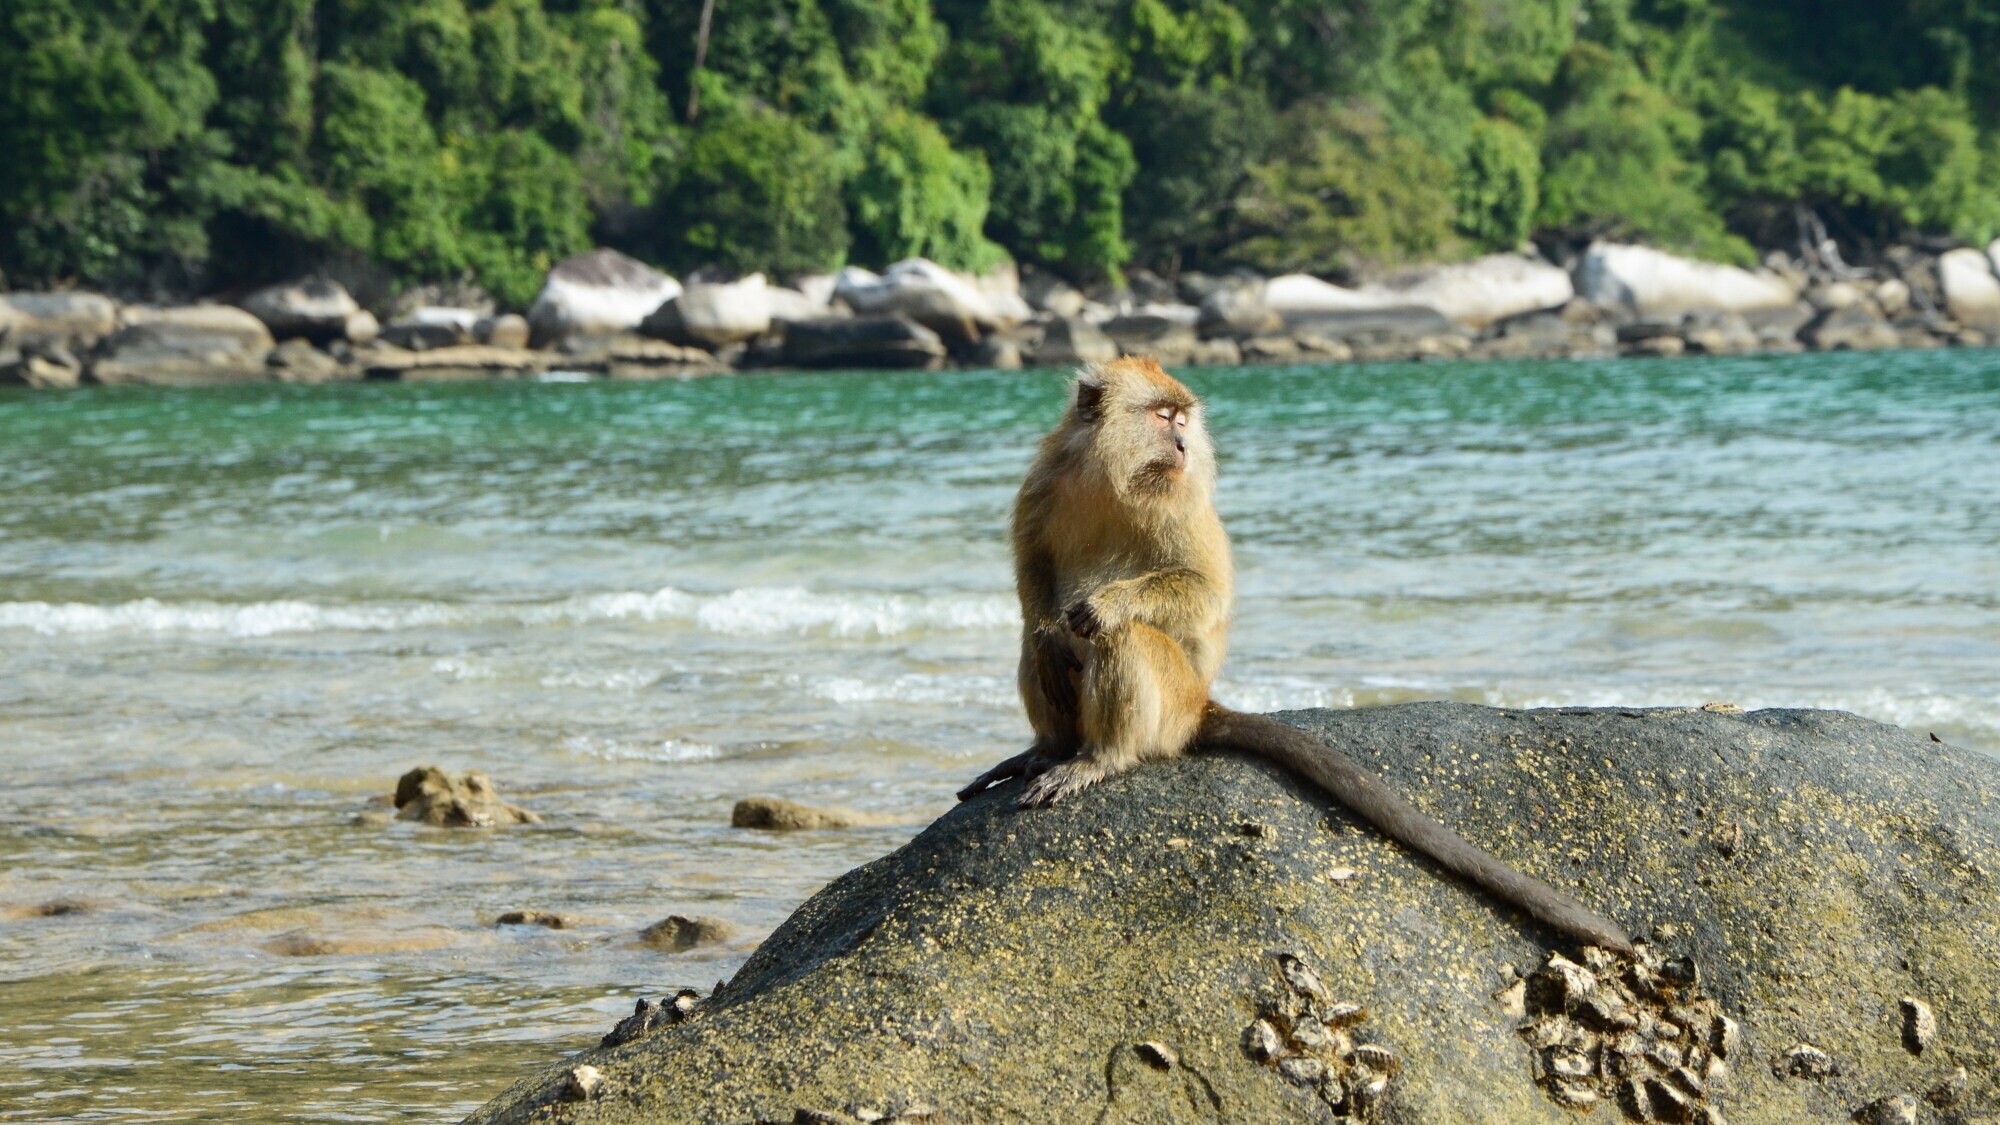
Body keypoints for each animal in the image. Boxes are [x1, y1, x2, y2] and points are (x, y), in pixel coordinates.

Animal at [957, 356, 1634, 957]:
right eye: (1161, 416)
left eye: (1182, 420)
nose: (1181, 446)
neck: (1111, 475)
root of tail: (1201, 706)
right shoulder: (1044, 480)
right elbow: (1035, 583)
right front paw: (1053, 625)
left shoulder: (1182, 499)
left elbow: (1200, 592)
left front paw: (1107, 605)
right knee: (1036, 645)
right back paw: (1048, 749)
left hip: (1174, 700)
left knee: (1126, 641)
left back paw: (1101, 757)